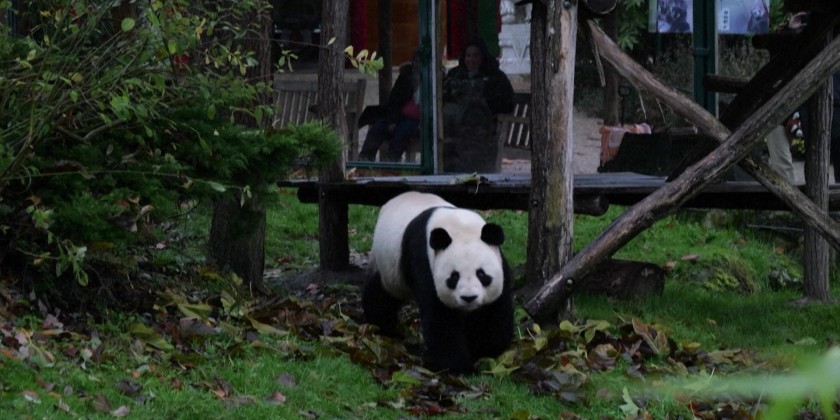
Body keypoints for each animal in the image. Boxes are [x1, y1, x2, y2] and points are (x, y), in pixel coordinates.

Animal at [362, 191, 514, 374]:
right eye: (454, 277)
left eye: (481, 274)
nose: (469, 298)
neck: (460, 227)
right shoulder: (424, 262)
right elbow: (440, 319)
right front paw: (462, 367)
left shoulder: (500, 265)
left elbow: (495, 312)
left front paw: (484, 350)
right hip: (388, 266)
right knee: (381, 295)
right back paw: (386, 328)